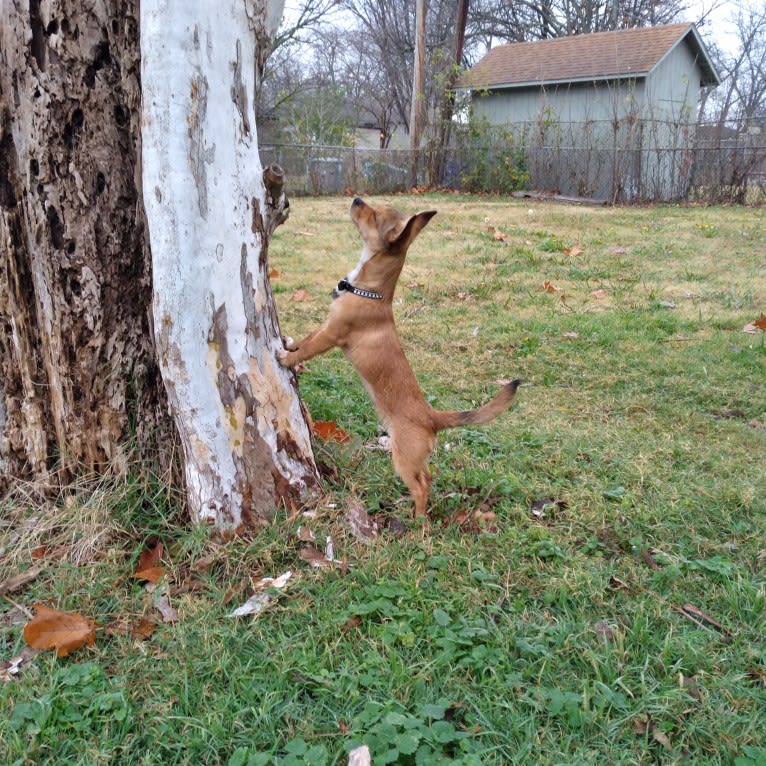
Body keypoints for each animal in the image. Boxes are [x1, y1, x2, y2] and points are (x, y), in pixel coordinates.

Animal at [278, 198, 520, 520]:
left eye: (374, 216)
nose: (356, 199)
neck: (370, 291)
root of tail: (432, 417)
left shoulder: (332, 335)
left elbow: (309, 348)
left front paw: (285, 358)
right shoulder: (326, 326)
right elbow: (306, 338)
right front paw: (289, 344)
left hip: (402, 457)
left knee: (421, 487)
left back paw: (417, 520)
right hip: (414, 458)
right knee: (427, 476)